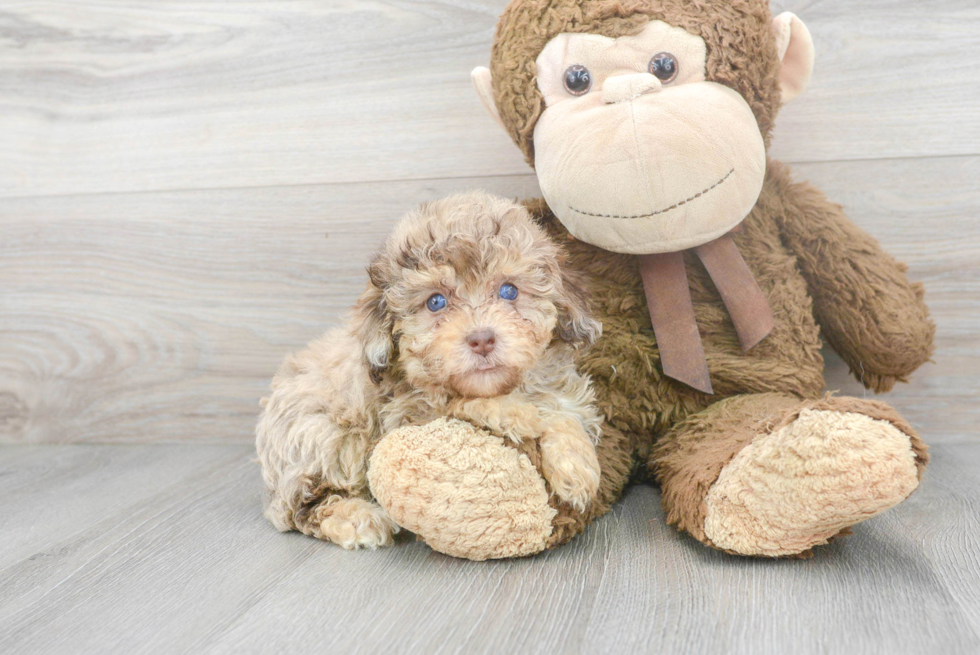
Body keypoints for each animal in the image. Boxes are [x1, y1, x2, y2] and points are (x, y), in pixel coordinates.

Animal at [253, 192, 604, 552]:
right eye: (436, 302)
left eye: (509, 291)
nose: (481, 339)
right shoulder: (407, 416)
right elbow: (459, 402)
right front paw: (515, 413)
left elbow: (565, 414)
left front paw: (577, 468)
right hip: (322, 435)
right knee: (303, 505)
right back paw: (358, 519)